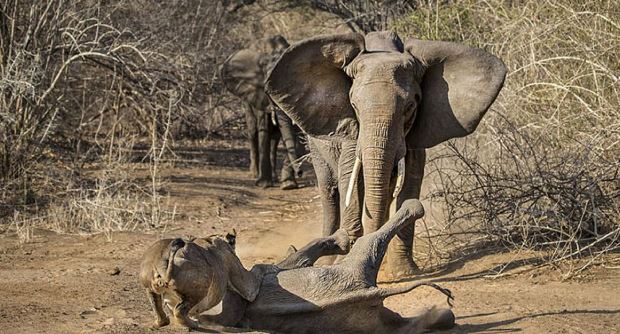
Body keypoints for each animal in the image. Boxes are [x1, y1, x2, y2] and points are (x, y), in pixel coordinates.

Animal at [222, 36, 304, 189]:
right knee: (253, 131)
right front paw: (264, 184)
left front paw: (288, 185)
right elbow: (263, 129)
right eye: (268, 89)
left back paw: (275, 178)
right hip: (246, 102)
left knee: (275, 138)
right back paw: (254, 174)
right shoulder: (259, 95)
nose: (300, 172)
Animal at [266, 30, 504, 280]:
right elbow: (350, 176)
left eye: (410, 107)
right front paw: (344, 253)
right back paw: (328, 255)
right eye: (354, 105)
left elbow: (410, 181)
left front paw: (405, 273)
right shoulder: (352, 130)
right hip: (316, 146)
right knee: (330, 191)